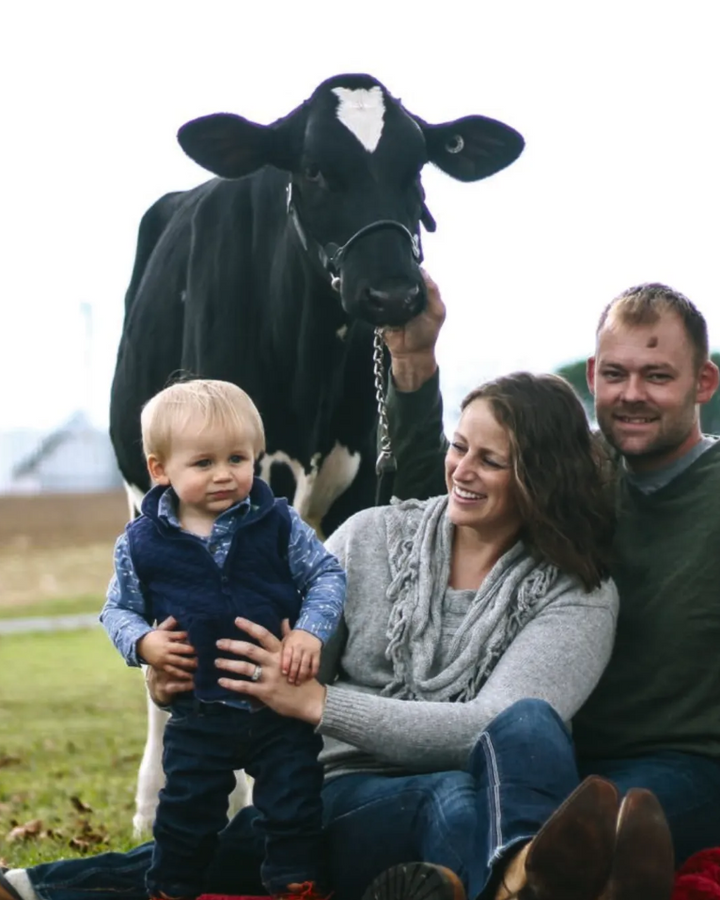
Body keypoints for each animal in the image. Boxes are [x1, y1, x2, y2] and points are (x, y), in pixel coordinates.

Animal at [108, 74, 524, 832]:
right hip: (136, 484)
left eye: (417, 167)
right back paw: (154, 803)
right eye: (313, 170)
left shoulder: (358, 483)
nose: (392, 292)